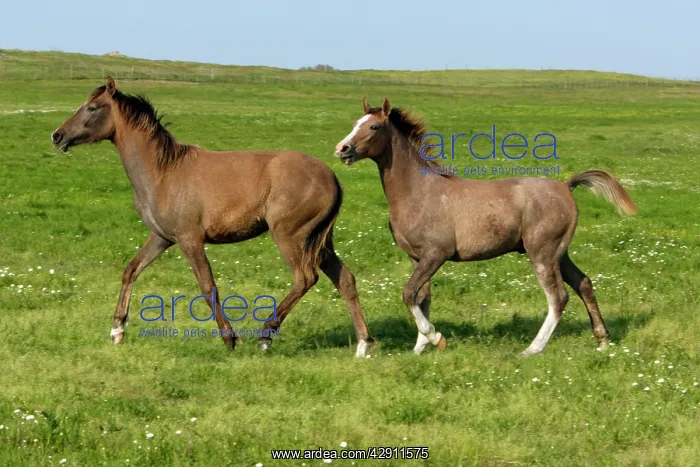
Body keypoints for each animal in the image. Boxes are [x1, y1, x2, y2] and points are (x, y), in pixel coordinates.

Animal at [51, 77, 375, 357]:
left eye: (92, 108)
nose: (57, 136)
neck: (163, 171)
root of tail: (332, 178)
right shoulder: (162, 238)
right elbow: (131, 270)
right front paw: (117, 330)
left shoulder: (190, 240)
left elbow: (208, 288)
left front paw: (229, 338)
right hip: (321, 241)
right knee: (345, 280)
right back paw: (364, 344)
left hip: (290, 236)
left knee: (304, 278)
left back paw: (265, 334)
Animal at [334, 97, 636, 356]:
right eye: (354, 123)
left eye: (373, 126)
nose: (342, 149)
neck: (419, 192)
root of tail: (566, 186)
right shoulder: (416, 257)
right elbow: (422, 297)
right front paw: (419, 348)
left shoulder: (436, 254)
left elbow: (409, 294)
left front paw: (436, 338)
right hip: (559, 254)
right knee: (583, 283)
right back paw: (602, 340)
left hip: (542, 253)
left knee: (558, 297)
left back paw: (532, 349)